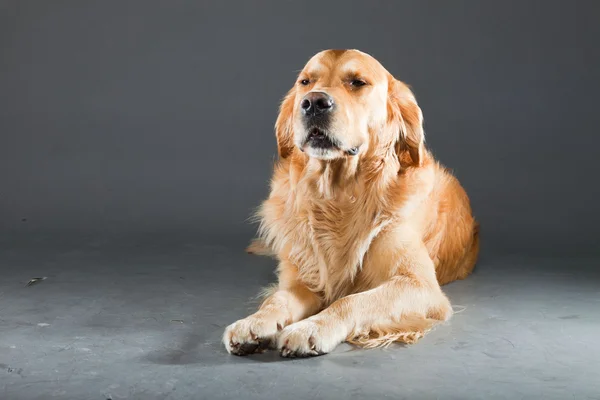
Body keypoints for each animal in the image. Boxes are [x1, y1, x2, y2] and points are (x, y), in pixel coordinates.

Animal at [221, 48, 478, 358]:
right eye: (305, 82)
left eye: (357, 82)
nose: (313, 103)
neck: (338, 195)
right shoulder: (304, 279)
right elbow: (277, 300)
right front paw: (253, 322)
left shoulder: (420, 284)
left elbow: (352, 301)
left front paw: (311, 328)